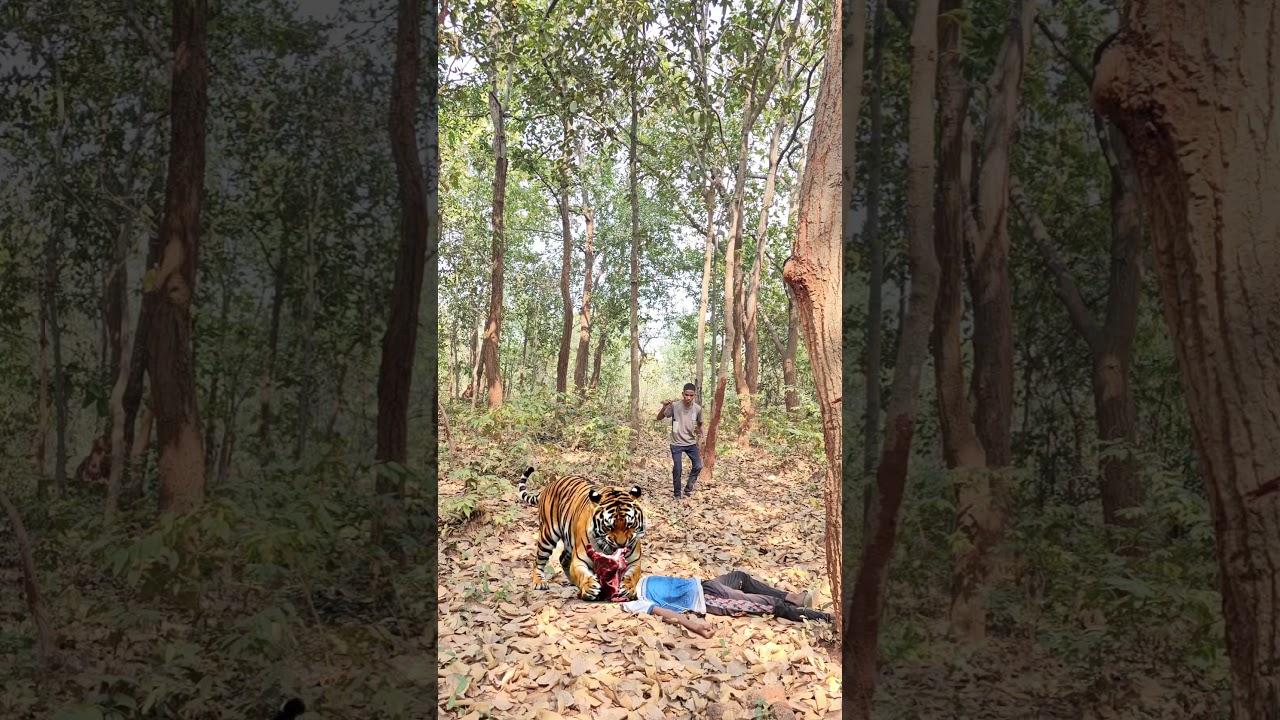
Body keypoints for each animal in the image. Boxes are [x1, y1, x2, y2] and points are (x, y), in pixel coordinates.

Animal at [517, 466, 646, 602]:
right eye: (609, 526)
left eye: (630, 524)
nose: (621, 545)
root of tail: (549, 485)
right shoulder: (579, 559)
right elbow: (583, 575)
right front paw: (590, 587)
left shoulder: (635, 561)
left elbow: (631, 576)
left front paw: (628, 588)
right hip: (548, 536)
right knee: (538, 561)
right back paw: (539, 582)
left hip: (569, 543)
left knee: (562, 558)